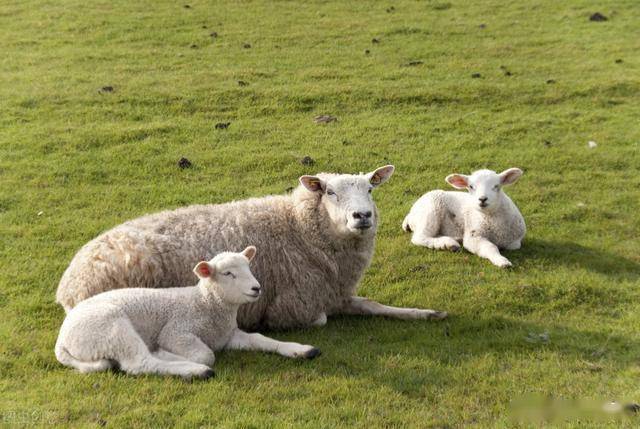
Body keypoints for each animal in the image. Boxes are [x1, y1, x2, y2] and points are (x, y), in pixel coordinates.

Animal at [55, 246, 320, 380]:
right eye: (228, 274)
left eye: (249, 267)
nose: (257, 288)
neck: (205, 303)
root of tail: (61, 340)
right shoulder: (177, 331)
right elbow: (205, 354)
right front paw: (182, 357)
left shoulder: (227, 335)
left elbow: (260, 339)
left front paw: (299, 349)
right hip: (111, 329)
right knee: (140, 362)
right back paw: (193, 370)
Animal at [57, 166, 448, 330]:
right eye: (330, 192)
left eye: (370, 189)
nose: (362, 216)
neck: (297, 229)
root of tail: (68, 284)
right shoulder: (296, 305)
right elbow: (318, 319)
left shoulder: (333, 291)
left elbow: (373, 305)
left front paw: (425, 314)